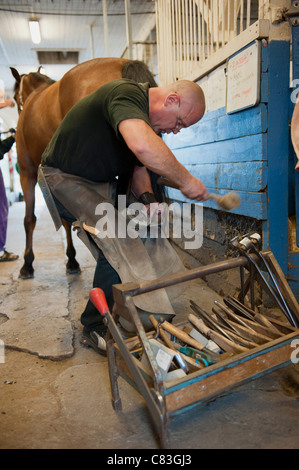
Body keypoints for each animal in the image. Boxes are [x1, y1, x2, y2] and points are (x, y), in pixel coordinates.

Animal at [10, 56, 158, 278]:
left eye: (13, 97)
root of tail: (124, 62)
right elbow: (65, 221)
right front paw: (72, 260)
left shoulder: (27, 172)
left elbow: (30, 219)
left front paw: (27, 264)